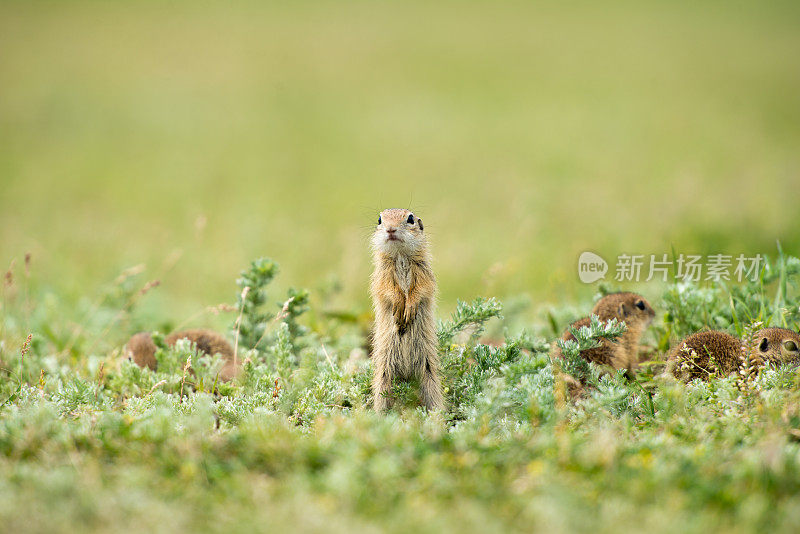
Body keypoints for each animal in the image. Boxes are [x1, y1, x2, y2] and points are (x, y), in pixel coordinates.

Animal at [370, 207, 444, 412]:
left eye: (410, 219)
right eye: (379, 220)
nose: (391, 229)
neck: (400, 255)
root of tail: (406, 374)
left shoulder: (424, 272)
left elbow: (421, 289)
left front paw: (409, 308)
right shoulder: (382, 275)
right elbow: (387, 289)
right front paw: (399, 306)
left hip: (429, 371)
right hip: (384, 372)